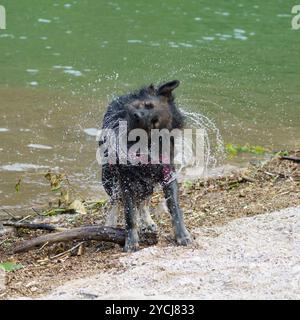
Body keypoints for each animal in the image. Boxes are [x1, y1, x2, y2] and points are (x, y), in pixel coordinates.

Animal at [99, 80, 191, 252]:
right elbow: (129, 213)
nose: (136, 116)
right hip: (108, 176)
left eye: (154, 123)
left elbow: (174, 207)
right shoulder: (125, 177)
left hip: (147, 181)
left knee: (143, 201)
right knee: (115, 201)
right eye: (148, 105)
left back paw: (147, 222)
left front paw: (182, 235)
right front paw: (131, 241)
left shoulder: (167, 174)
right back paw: (109, 224)